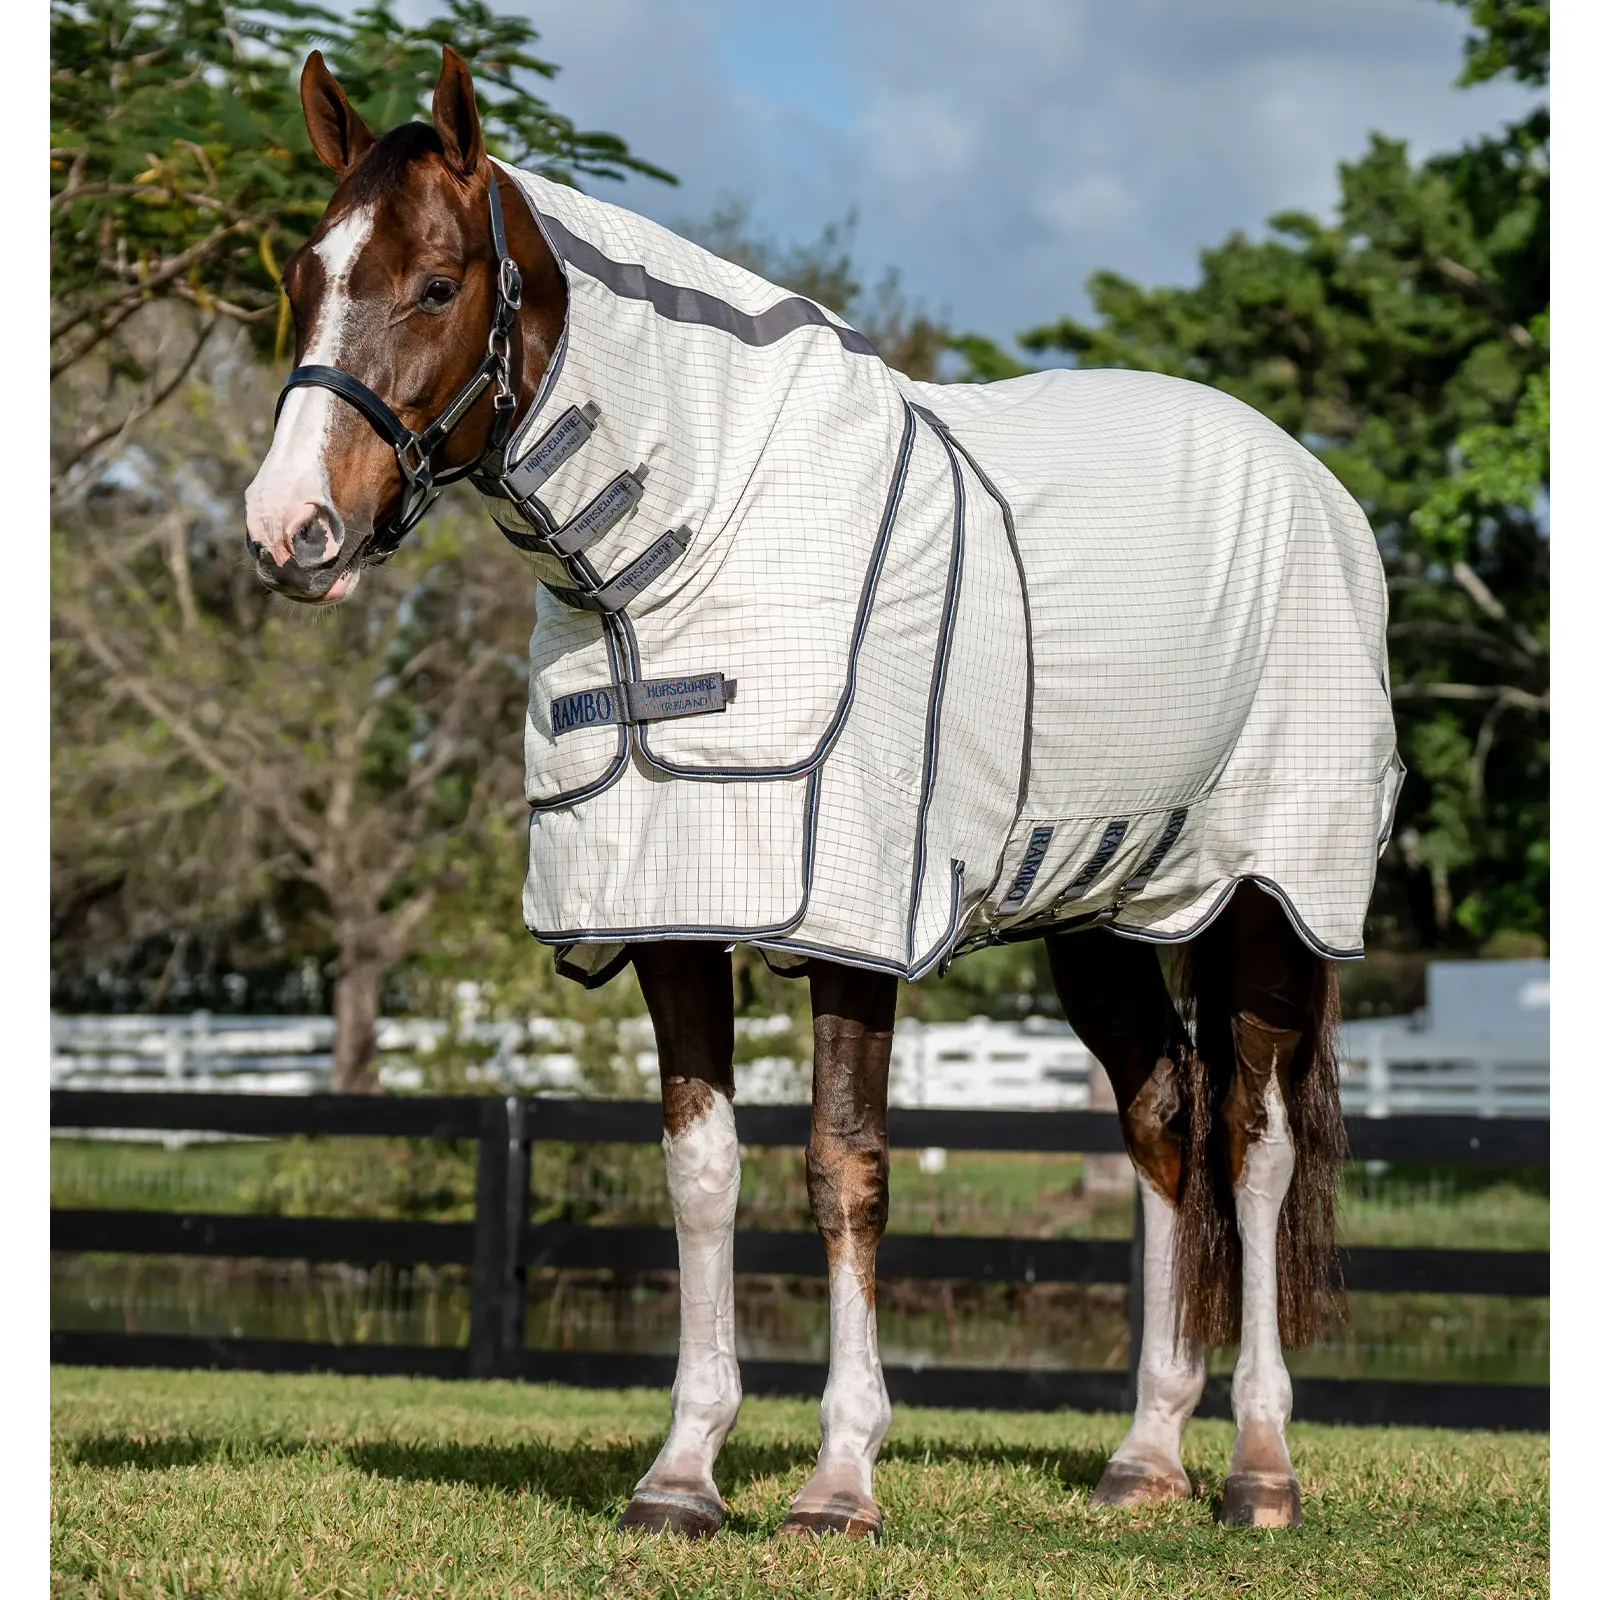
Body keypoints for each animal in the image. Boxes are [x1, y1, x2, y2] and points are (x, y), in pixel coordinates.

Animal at [244, 46, 1403, 1539]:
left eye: (438, 285)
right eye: (301, 275)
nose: (288, 531)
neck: (688, 553)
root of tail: (1314, 485)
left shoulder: (850, 920)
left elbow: (843, 1169)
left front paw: (839, 1477)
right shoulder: (675, 909)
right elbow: (701, 1172)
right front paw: (682, 1473)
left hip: (1268, 894)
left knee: (1254, 1148)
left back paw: (1259, 1466)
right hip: (1100, 911)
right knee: (1163, 1122)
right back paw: (1144, 1456)